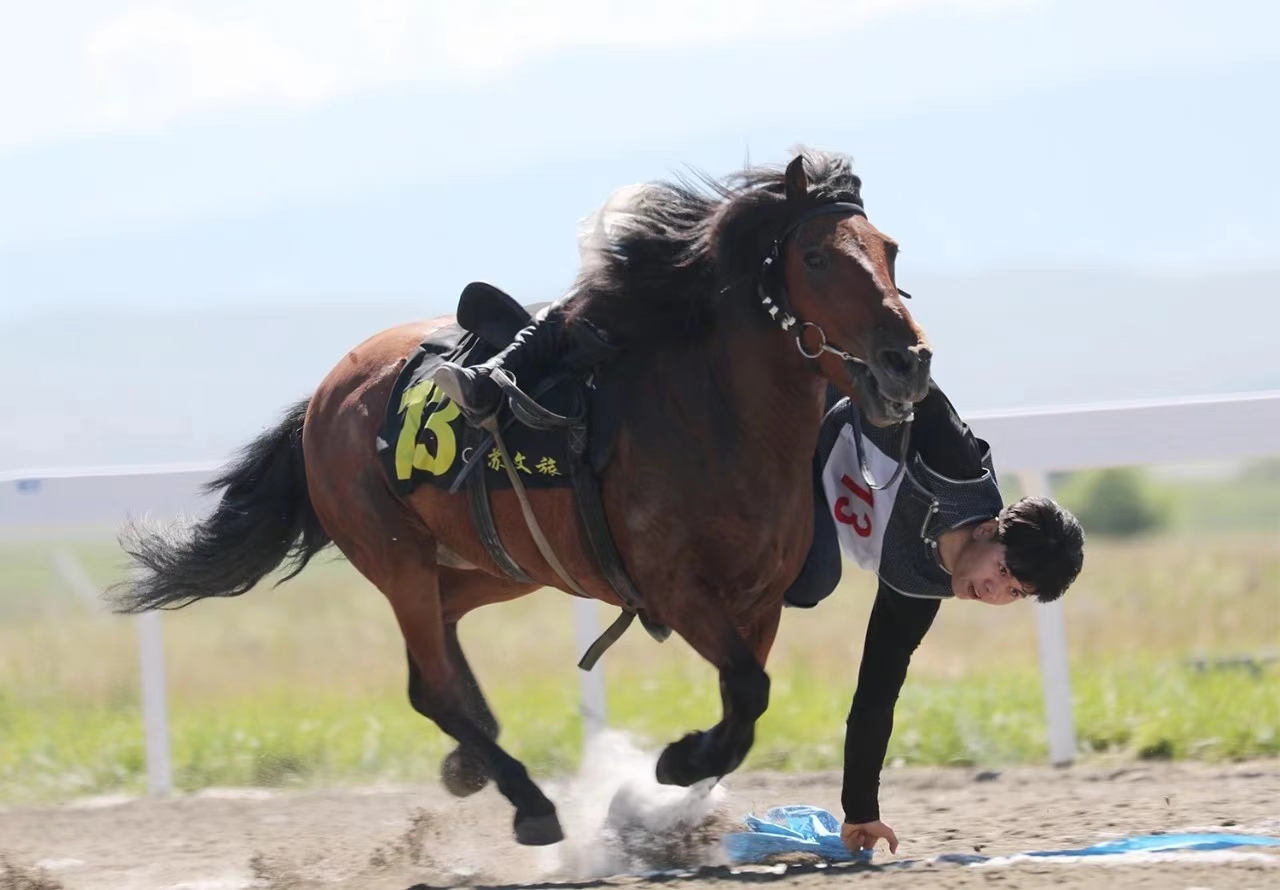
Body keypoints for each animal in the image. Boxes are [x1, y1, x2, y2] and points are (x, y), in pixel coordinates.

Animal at [110, 151, 931, 850]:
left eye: (889, 250)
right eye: (815, 257)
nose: (907, 363)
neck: (714, 413)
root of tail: (324, 395)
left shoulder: (757, 602)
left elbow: (744, 706)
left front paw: (671, 788)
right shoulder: (680, 589)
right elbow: (747, 694)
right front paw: (671, 766)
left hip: (496, 567)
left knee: (439, 653)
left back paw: (474, 762)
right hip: (397, 559)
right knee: (432, 688)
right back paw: (528, 802)